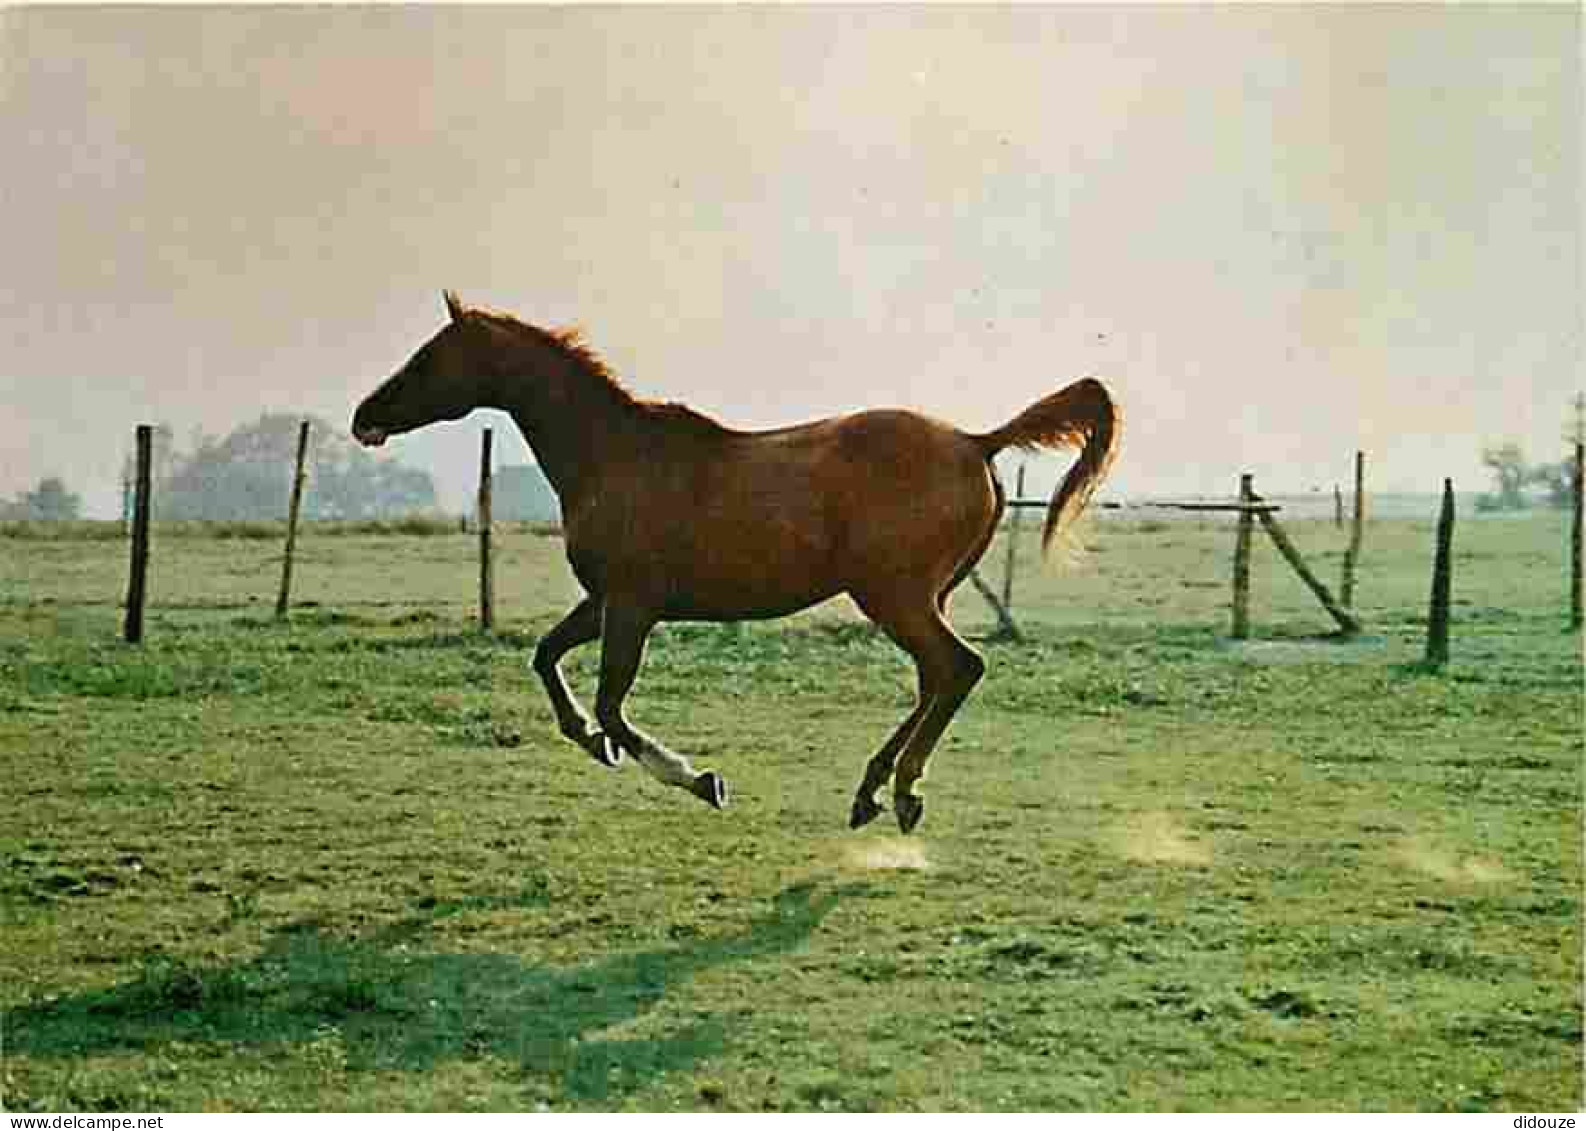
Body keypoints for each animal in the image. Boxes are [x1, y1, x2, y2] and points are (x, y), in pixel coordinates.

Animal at [353, 293, 1122, 831]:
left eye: (427, 359)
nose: (365, 416)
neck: (612, 454)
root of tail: (976, 441)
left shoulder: (632, 607)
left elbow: (612, 704)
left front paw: (700, 780)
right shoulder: (604, 602)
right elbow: (548, 659)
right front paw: (593, 744)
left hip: (894, 596)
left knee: (956, 668)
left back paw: (900, 790)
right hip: (926, 595)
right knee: (937, 677)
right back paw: (870, 790)